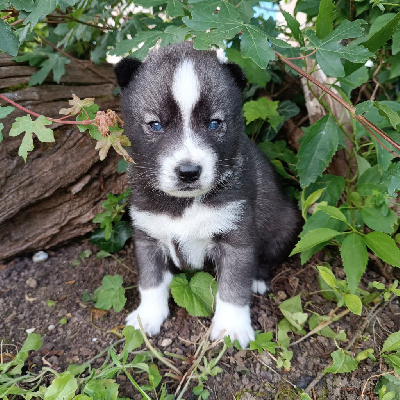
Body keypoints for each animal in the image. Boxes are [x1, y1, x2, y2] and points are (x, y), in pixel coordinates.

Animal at [114, 41, 298, 346]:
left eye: (214, 123)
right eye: (155, 125)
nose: (189, 171)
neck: (184, 204)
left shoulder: (236, 238)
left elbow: (233, 286)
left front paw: (232, 326)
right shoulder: (147, 236)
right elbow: (151, 281)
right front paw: (147, 316)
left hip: (286, 223)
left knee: (268, 257)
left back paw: (258, 279)